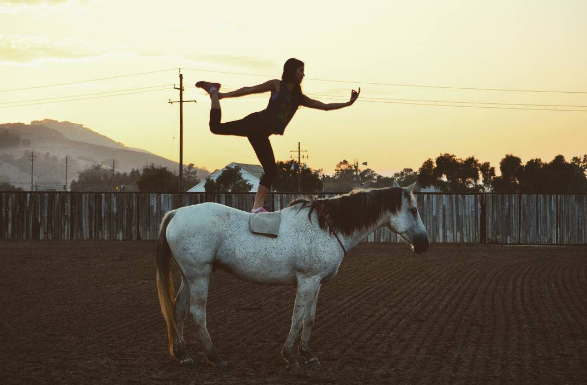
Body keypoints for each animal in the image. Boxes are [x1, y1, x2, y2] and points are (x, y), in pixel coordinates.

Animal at [156, 183, 430, 368]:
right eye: (414, 210)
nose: (424, 244)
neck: (326, 227)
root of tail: (176, 213)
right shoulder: (307, 280)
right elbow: (297, 317)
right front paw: (289, 355)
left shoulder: (316, 282)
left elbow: (309, 318)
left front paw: (307, 353)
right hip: (199, 275)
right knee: (196, 313)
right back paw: (214, 357)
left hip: (189, 276)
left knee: (178, 309)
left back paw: (182, 354)